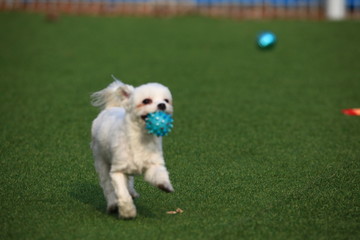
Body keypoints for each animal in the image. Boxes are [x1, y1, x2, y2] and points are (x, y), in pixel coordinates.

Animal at [90, 79, 174, 219]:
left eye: (166, 100)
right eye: (146, 101)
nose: (162, 105)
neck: (141, 138)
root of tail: (111, 107)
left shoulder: (153, 163)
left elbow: (158, 174)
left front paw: (165, 185)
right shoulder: (117, 171)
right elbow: (122, 194)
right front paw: (127, 212)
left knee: (129, 180)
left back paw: (132, 192)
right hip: (101, 160)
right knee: (107, 185)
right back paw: (112, 204)